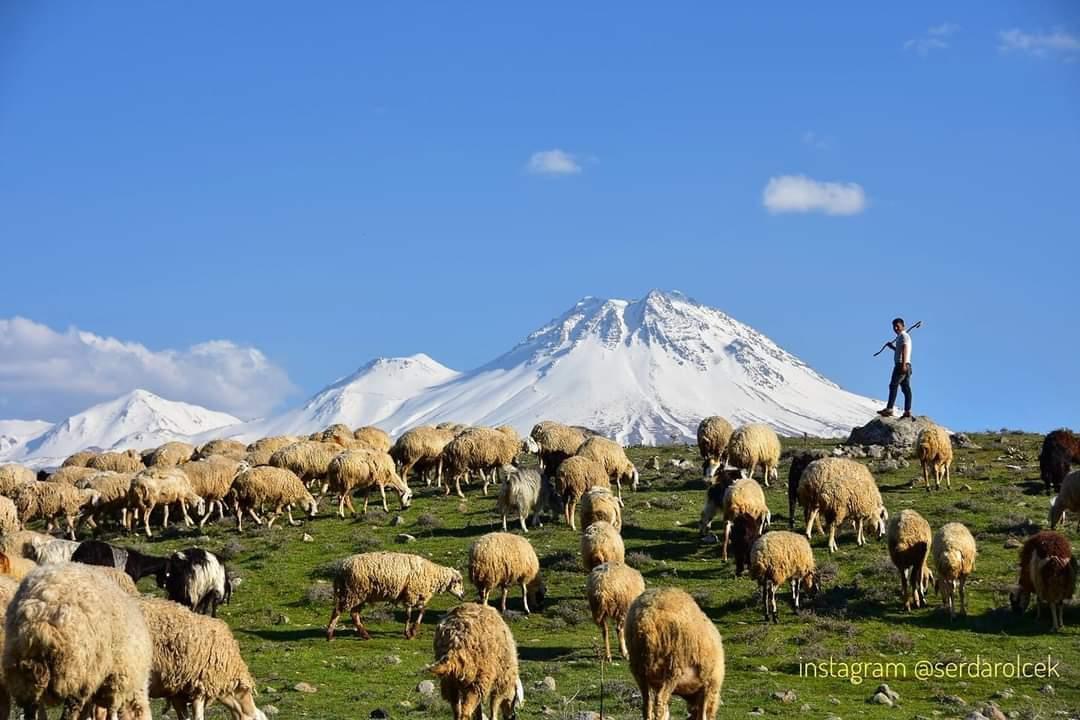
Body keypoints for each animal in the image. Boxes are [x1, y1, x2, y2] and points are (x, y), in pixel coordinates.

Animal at [2, 561, 155, 720]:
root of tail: (41, 615)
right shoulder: (116, 682)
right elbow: (111, 711)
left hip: (22, 670)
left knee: (30, 708)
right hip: (75, 671)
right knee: (70, 711)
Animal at [326, 552, 466, 643]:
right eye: (459, 581)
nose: (463, 595)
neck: (432, 575)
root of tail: (341, 568)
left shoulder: (415, 595)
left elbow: (422, 611)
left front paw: (414, 630)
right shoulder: (411, 594)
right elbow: (409, 615)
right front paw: (409, 633)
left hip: (358, 594)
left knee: (354, 614)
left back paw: (365, 635)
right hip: (353, 592)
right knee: (338, 611)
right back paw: (330, 635)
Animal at [626, 587, 725, 720]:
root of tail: (646, 619)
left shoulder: (656, 683)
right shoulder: (708, 683)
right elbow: (702, 713)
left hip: (639, 669)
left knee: (647, 704)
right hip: (673, 668)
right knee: (660, 702)